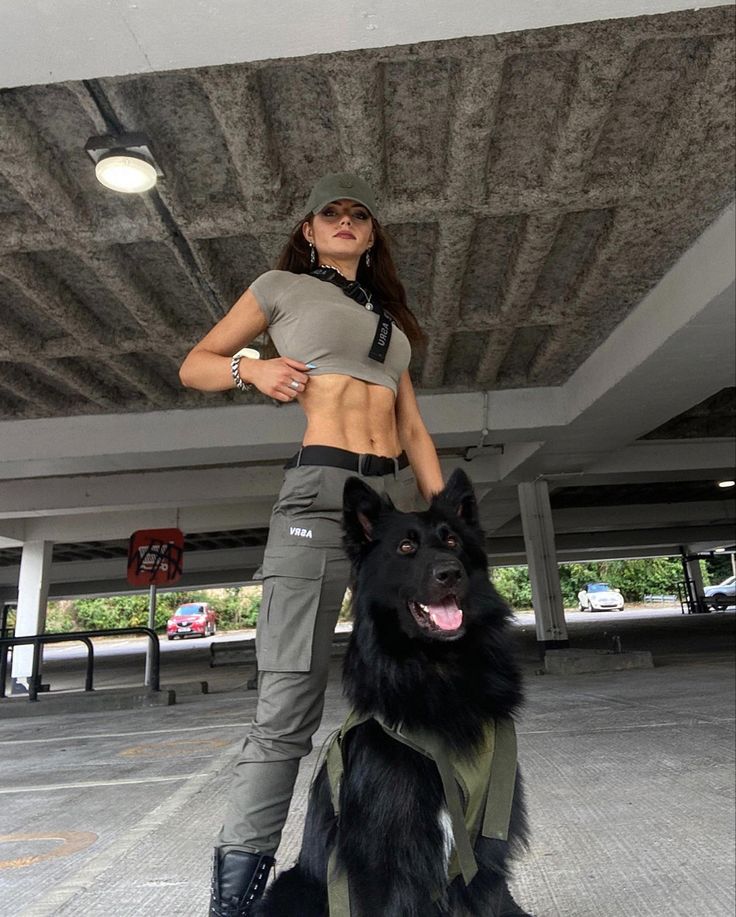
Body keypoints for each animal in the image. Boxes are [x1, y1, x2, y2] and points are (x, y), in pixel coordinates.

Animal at [256, 468, 532, 912]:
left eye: (452, 541)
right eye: (406, 547)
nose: (450, 572)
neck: (437, 671)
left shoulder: (486, 851)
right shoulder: (381, 860)